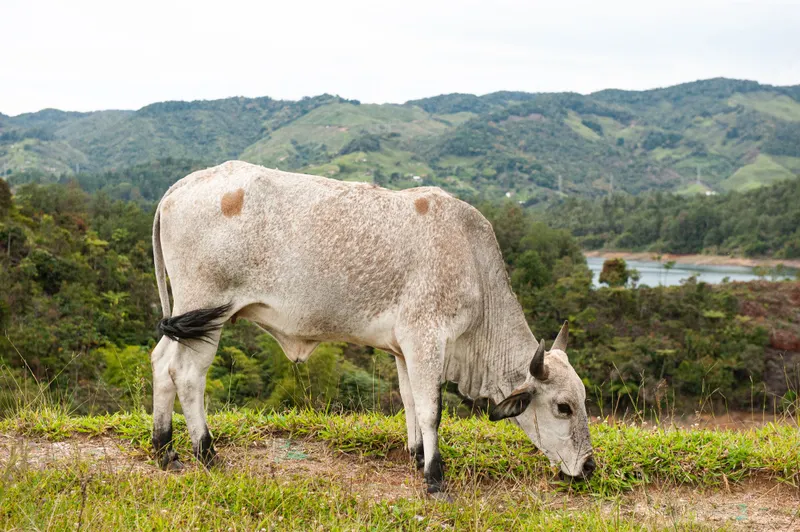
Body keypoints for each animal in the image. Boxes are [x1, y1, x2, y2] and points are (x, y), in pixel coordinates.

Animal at [150, 160, 594, 494]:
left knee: (160, 363)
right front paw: (435, 479)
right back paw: (206, 453)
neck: (473, 262)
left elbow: (410, 401)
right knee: (186, 375)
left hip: (189, 321)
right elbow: (431, 409)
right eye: (563, 407)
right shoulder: (426, 339)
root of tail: (178, 187)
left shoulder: (404, 348)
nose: (588, 467)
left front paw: (417, 456)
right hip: (206, 313)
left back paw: (164, 449)